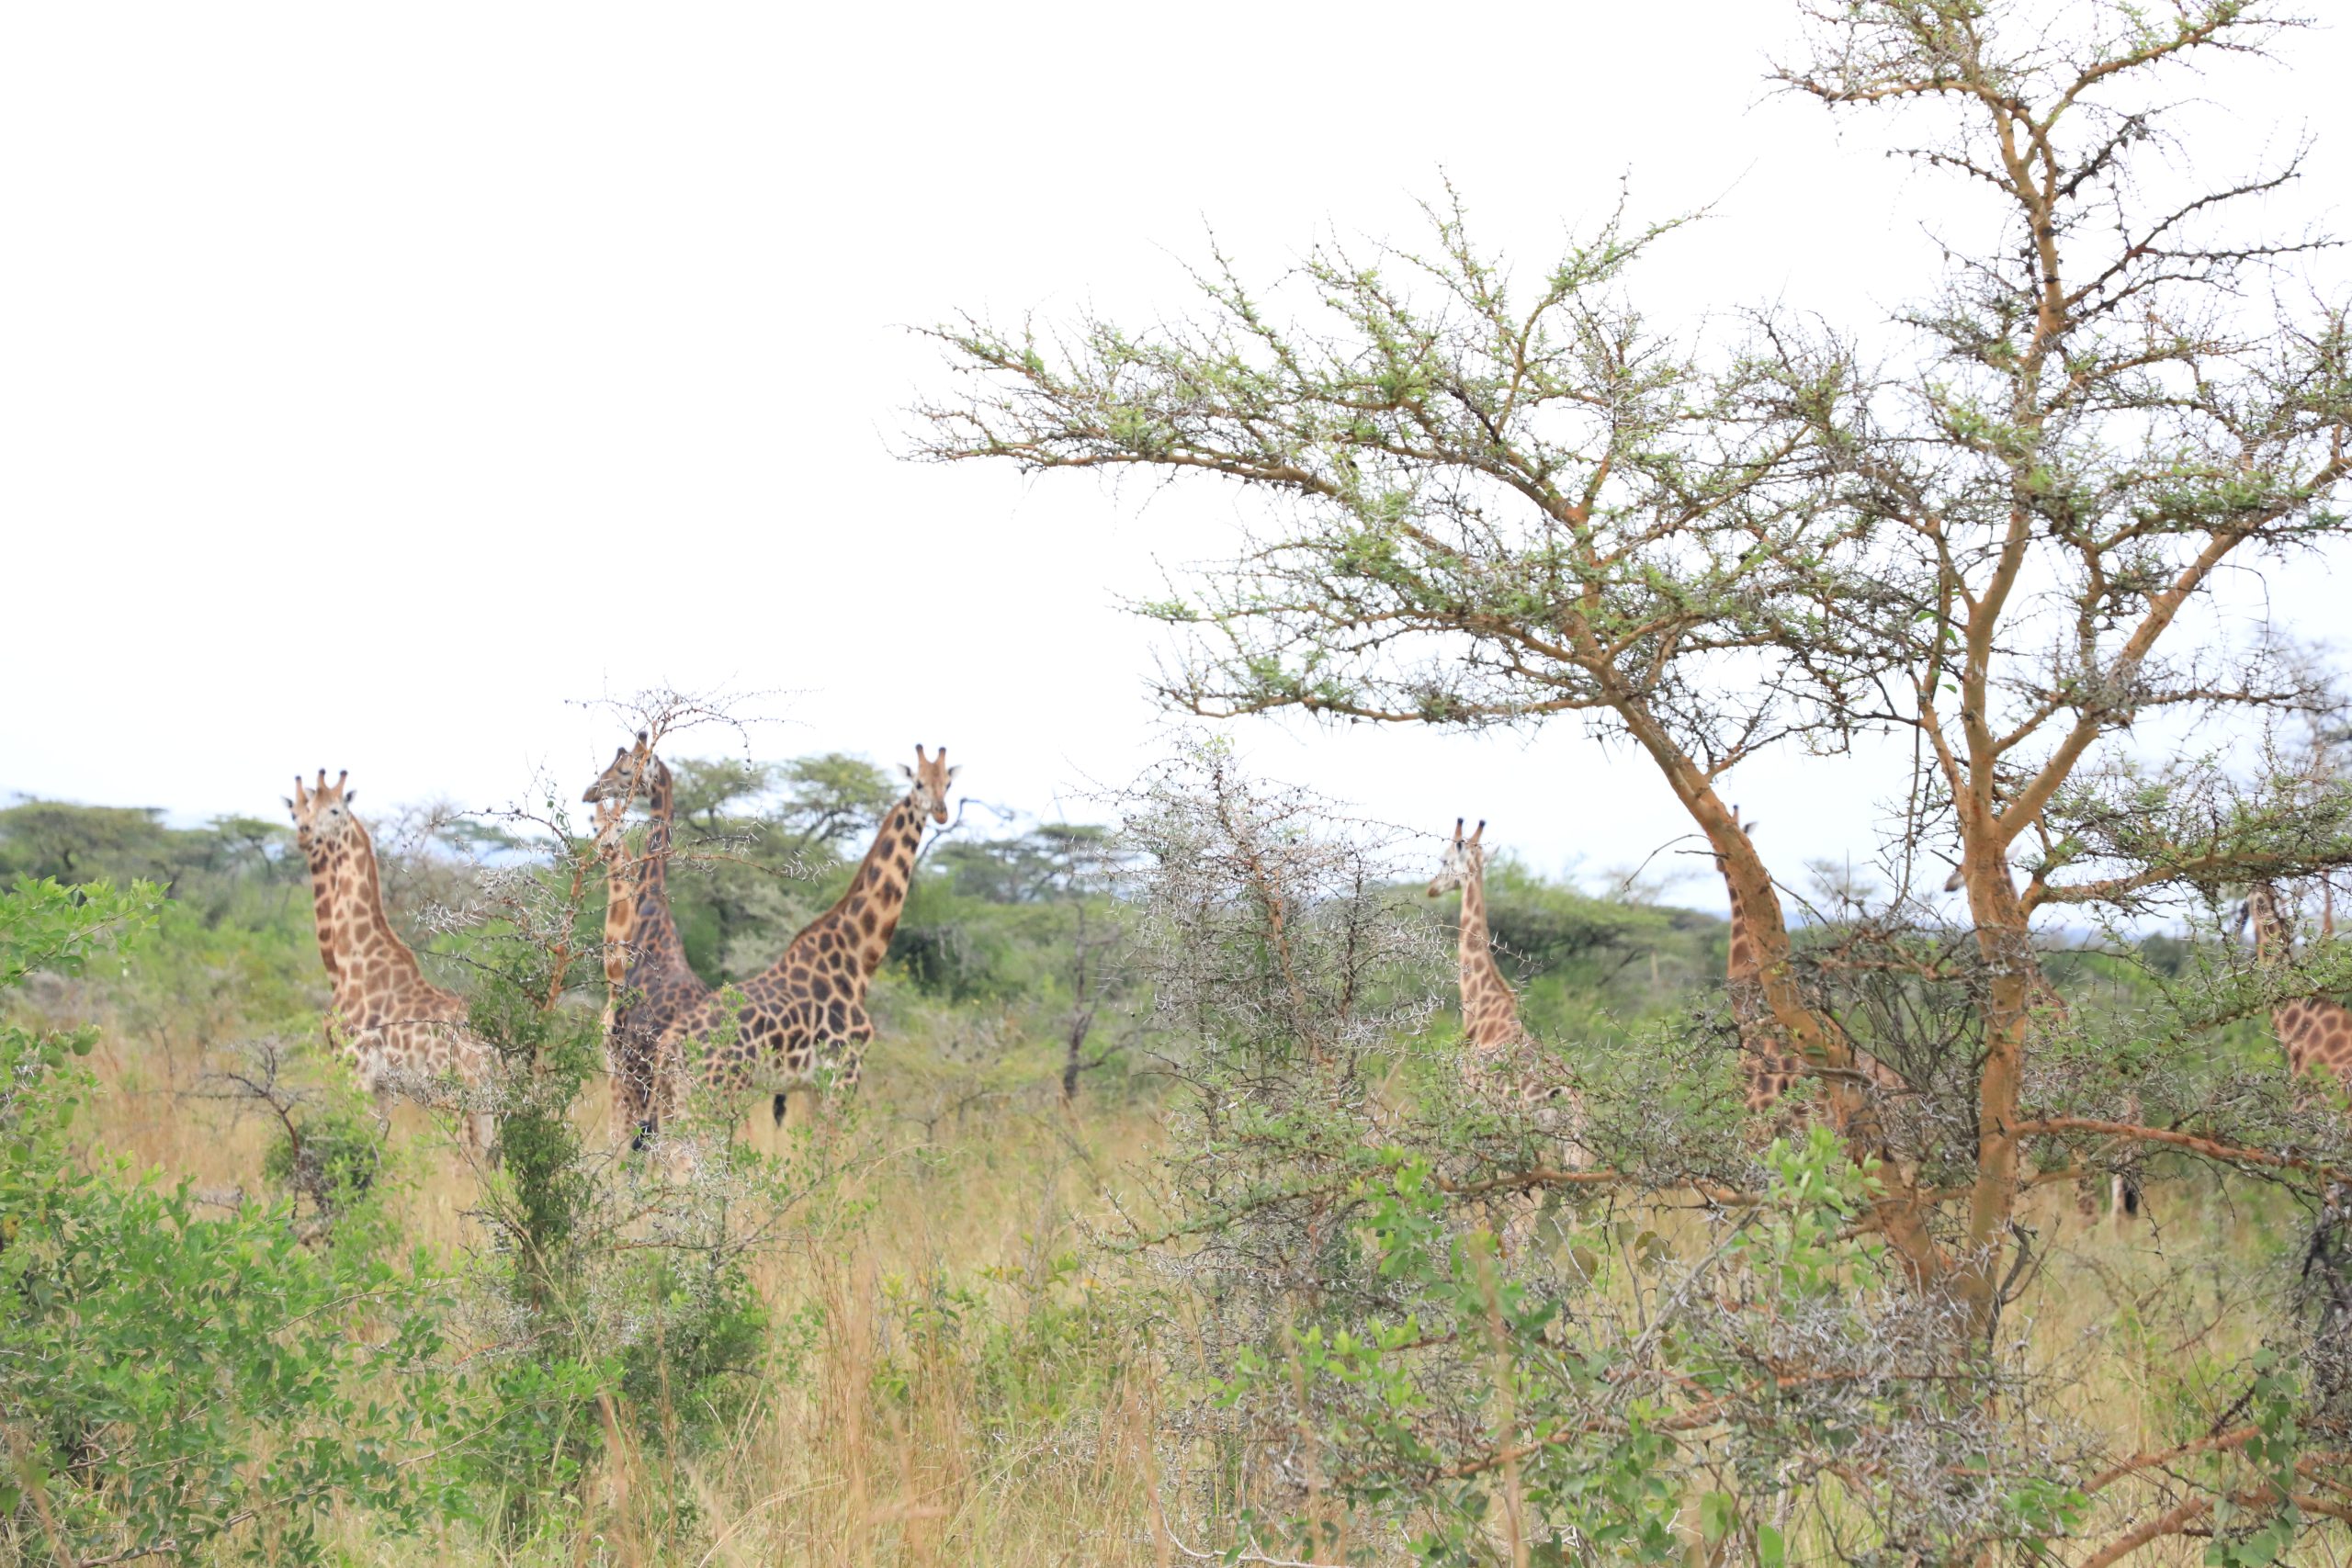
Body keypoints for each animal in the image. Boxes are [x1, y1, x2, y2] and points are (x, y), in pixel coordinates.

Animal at [286, 770, 496, 1160]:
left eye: (334, 810)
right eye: (300, 811)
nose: (304, 833)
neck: (350, 961)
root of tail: (493, 1045)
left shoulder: (355, 1071)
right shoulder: (380, 1086)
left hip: (462, 1093)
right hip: (490, 1097)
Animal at [647, 745, 956, 1131]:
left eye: (947, 783)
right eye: (918, 783)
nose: (942, 812)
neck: (860, 957)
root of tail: (669, 1045)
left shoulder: (811, 1087)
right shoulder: (844, 1072)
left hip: (674, 1098)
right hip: (712, 1091)